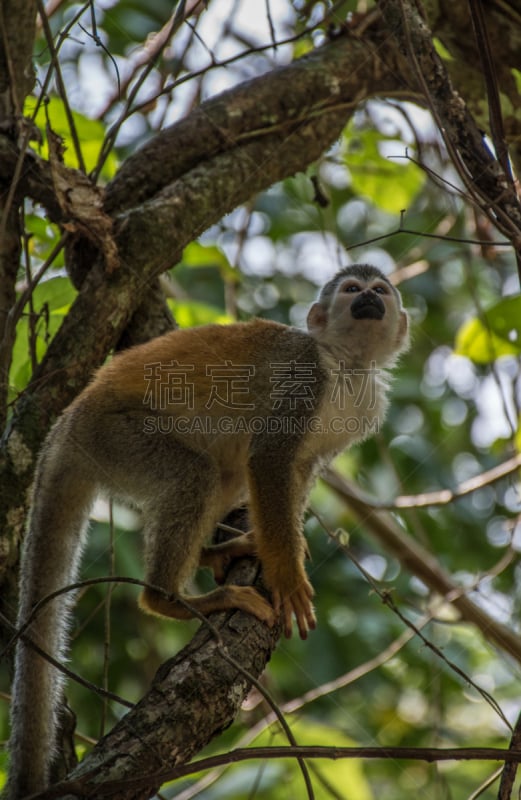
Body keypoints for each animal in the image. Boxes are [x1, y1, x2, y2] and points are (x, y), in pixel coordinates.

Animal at [6, 264, 408, 800]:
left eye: (379, 290)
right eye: (350, 291)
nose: (368, 299)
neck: (345, 365)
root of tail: (63, 429)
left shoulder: (363, 411)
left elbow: (298, 470)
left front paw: (284, 544)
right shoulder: (302, 374)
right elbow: (271, 459)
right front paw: (287, 575)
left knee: (224, 473)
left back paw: (209, 555)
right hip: (114, 437)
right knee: (195, 473)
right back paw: (170, 599)